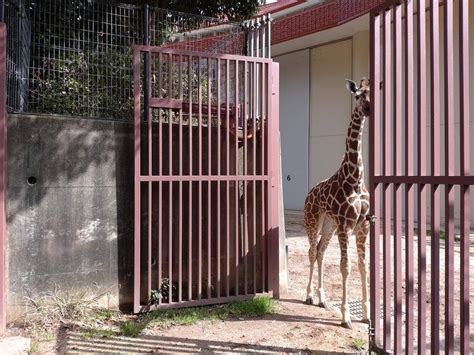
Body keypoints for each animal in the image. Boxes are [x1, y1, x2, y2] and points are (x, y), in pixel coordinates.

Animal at [304, 79, 370, 330]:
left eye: (372, 93)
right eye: (358, 95)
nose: (368, 109)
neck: (355, 178)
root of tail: (308, 194)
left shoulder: (363, 225)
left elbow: (363, 265)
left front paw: (367, 315)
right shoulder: (345, 225)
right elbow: (346, 266)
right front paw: (346, 317)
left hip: (328, 224)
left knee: (321, 251)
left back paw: (322, 298)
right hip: (313, 220)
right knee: (312, 251)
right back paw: (309, 295)